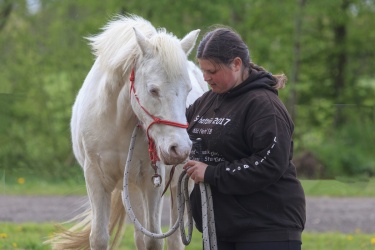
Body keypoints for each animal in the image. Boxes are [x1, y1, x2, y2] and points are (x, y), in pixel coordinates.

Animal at [48, 15, 209, 250]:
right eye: (153, 90)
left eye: (188, 89)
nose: (179, 148)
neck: (117, 124)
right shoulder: (95, 178)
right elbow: (99, 237)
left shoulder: (153, 181)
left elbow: (154, 239)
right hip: (131, 188)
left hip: (179, 184)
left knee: (174, 239)